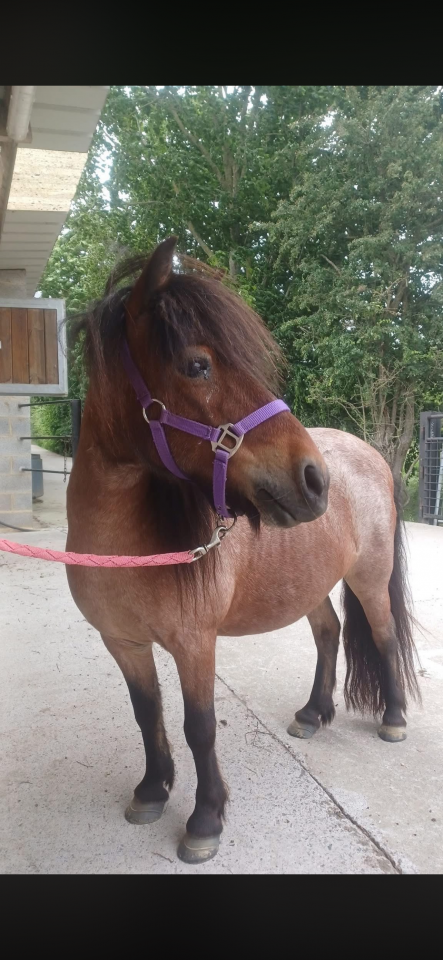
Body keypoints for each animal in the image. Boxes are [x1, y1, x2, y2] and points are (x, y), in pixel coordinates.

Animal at [66, 237, 419, 865]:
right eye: (197, 364)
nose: (314, 480)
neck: (121, 547)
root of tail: (369, 455)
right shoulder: (123, 643)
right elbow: (146, 713)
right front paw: (151, 791)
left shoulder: (193, 643)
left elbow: (199, 726)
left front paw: (205, 820)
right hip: (309, 583)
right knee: (328, 632)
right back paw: (313, 713)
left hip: (370, 579)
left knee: (381, 637)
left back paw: (394, 718)